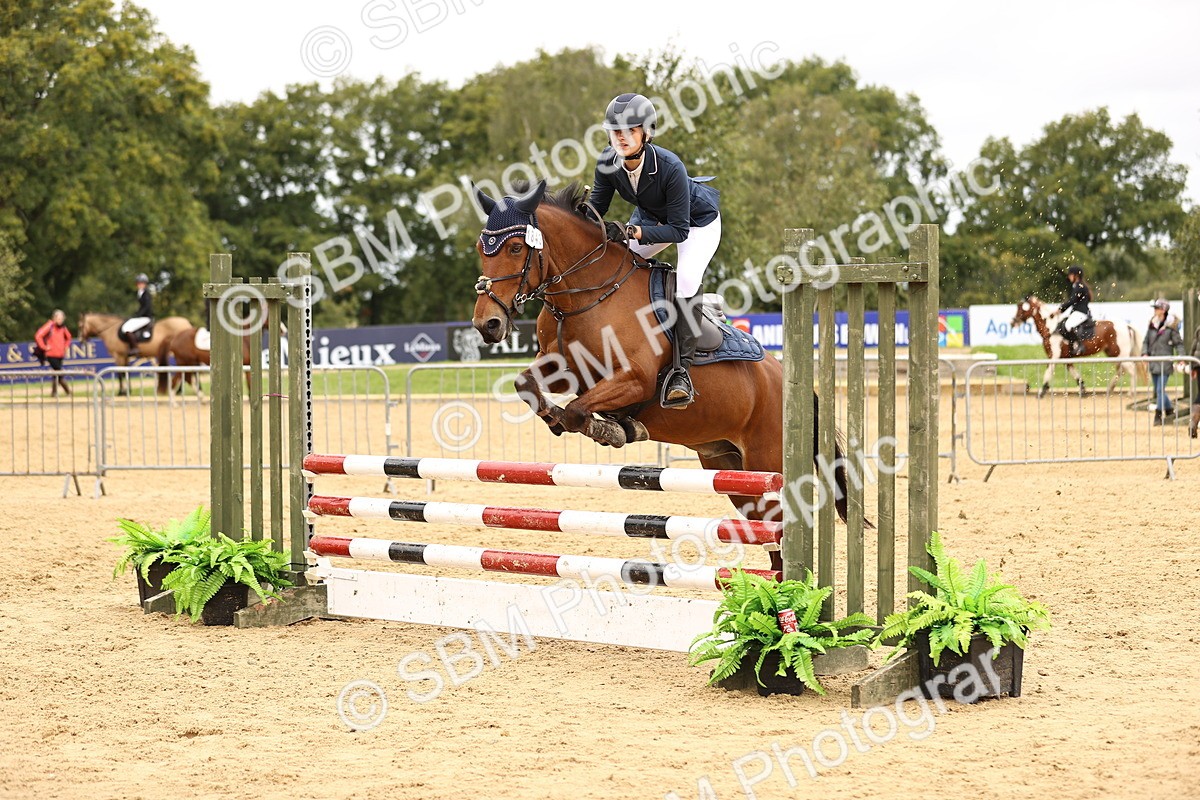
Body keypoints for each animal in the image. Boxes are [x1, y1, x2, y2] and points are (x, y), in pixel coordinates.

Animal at [471, 180, 848, 570]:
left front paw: (612, 430)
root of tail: (784, 377)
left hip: (766, 462)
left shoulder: (635, 379)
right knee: (770, 533)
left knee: (784, 524)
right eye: (482, 249)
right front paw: (556, 418)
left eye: (516, 247)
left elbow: (577, 410)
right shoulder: (566, 367)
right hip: (731, 467)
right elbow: (527, 384)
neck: (587, 295)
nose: (488, 325)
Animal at [1011, 296, 1143, 397]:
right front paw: (1083, 390)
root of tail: (1126, 326)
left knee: (1131, 369)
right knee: (1121, 370)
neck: (1051, 328)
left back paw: (1131, 393)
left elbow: (1048, 372)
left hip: (1120, 354)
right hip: (1113, 354)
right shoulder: (1066, 358)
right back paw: (1110, 389)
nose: (1012, 323)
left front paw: (1041, 392)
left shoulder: (1053, 356)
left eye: (1021, 307)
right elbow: (1075, 374)